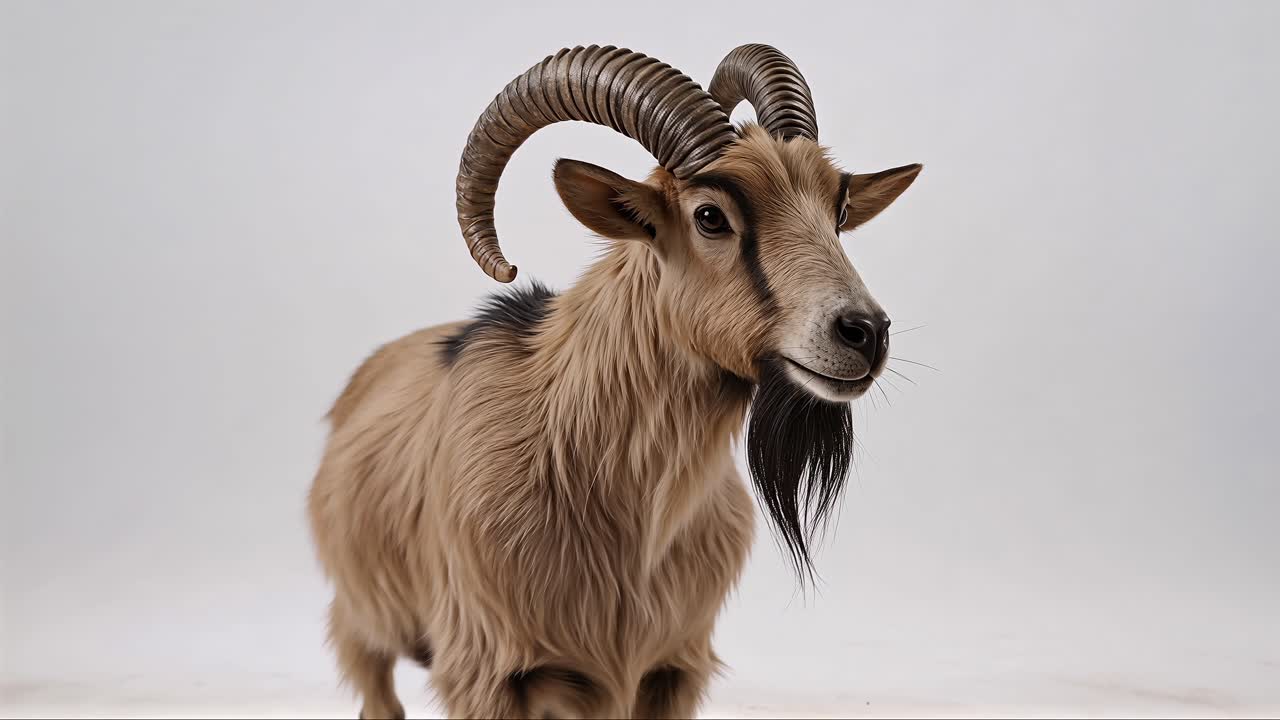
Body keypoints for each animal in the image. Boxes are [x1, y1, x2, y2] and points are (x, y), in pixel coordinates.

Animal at [308, 44, 921, 719]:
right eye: (710, 216)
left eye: (839, 211)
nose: (864, 332)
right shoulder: (484, 672)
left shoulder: (671, 670)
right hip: (362, 626)